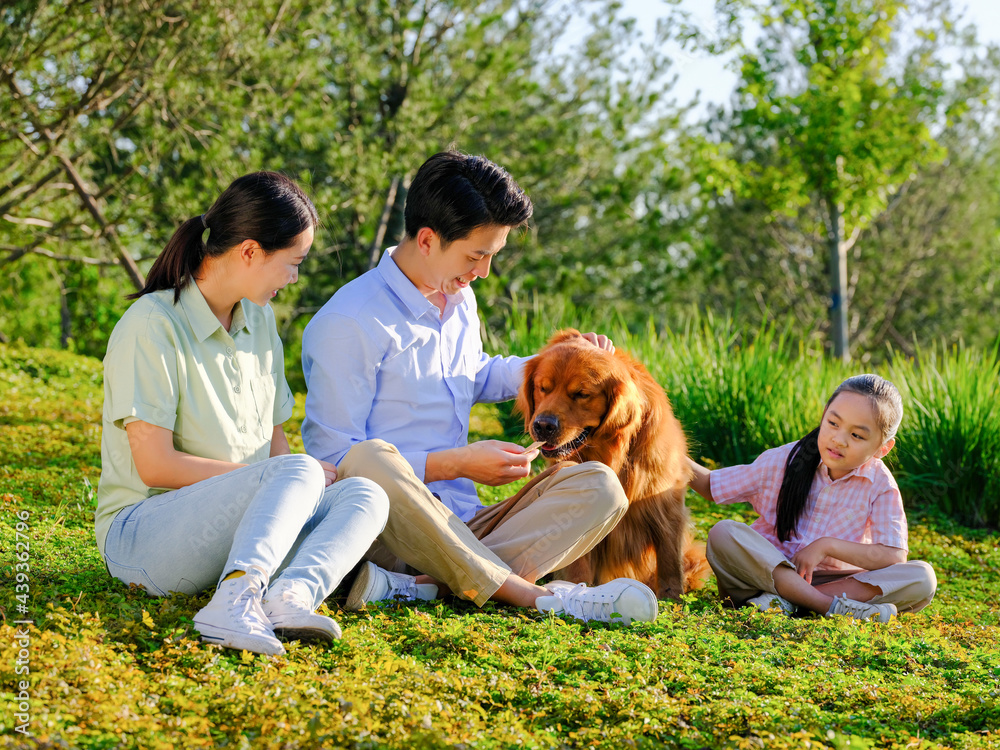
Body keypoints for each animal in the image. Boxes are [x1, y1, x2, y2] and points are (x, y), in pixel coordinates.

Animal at [516, 332, 712, 604]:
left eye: (581, 394)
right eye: (542, 388)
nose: (543, 425)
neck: (611, 455)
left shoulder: (665, 504)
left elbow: (669, 557)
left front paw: (671, 596)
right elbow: (578, 560)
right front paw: (577, 587)